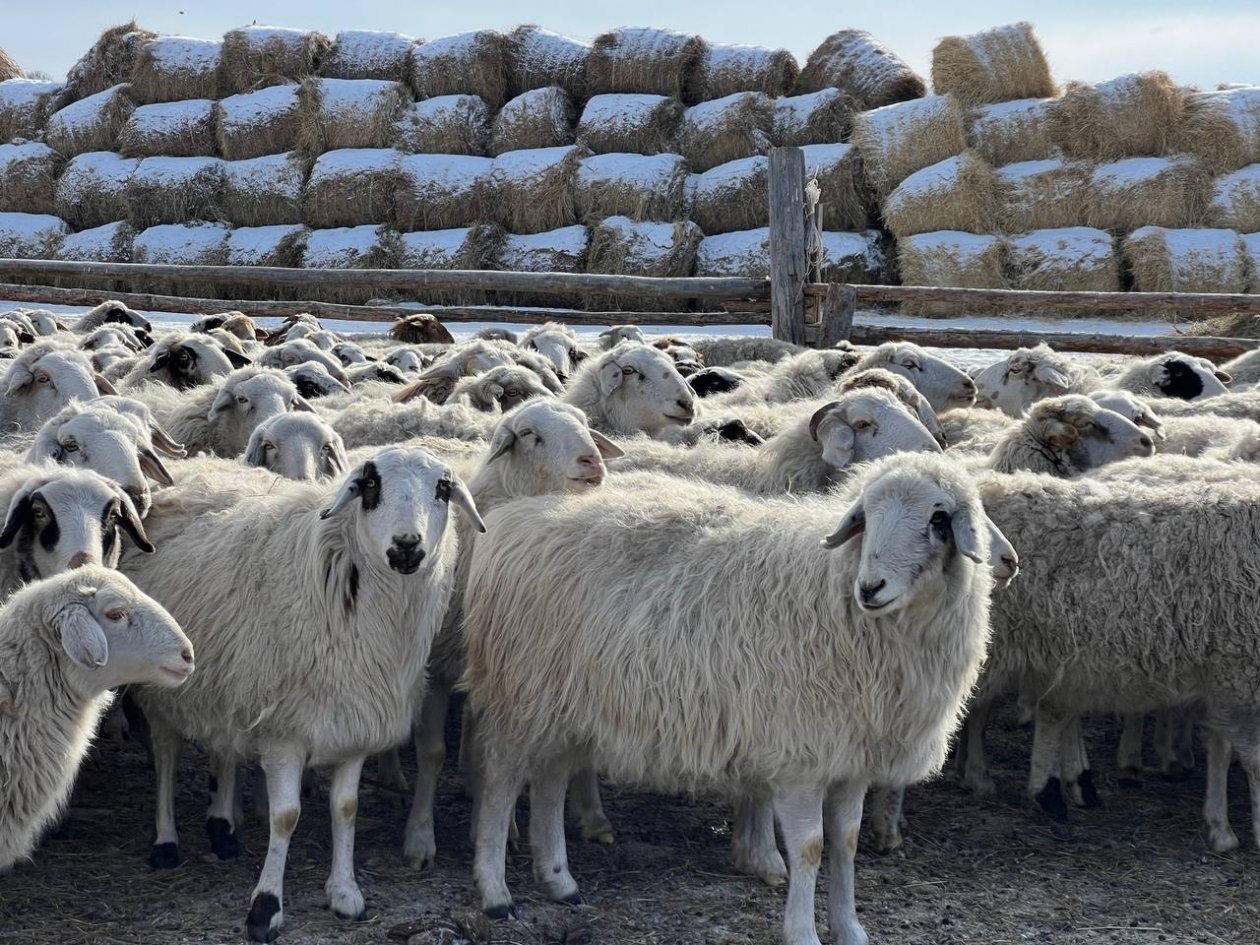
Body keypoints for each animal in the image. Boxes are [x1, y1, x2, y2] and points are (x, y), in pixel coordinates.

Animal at [126, 445, 483, 940]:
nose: (407, 546)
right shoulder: (284, 734)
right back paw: (166, 841)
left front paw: (345, 893)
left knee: (224, 748)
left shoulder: (354, 724)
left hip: (230, 682)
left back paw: (223, 827)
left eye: (443, 489)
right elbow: (286, 816)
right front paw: (265, 908)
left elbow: (347, 808)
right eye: (370, 485)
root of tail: (193, 470)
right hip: (163, 688)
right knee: (165, 756)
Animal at [403, 400, 624, 868]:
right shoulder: (437, 666)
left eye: (585, 424)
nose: (592, 461)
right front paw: (420, 838)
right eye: (528, 435)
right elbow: (432, 753)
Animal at [462, 454, 1003, 945]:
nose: (871, 588)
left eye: (938, 520)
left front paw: (850, 930)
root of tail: (517, 517)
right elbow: (810, 848)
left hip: (566, 705)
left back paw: (559, 881)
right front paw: (802, 932)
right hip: (521, 695)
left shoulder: (852, 758)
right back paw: (496, 893)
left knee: (550, 782)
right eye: (865, 516)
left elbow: (846, 843)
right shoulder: (801, 757)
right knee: (500, 783)